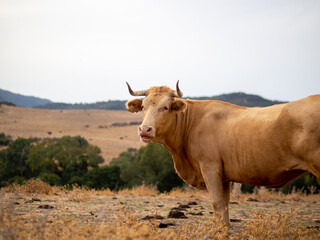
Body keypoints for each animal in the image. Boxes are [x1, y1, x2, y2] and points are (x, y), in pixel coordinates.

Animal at [125, 81, 320, 226]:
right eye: (143, 106)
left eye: (165, 107)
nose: (145, 129)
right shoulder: (225, 175)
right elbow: (225, 205)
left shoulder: (210, 168)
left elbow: (217, 202)